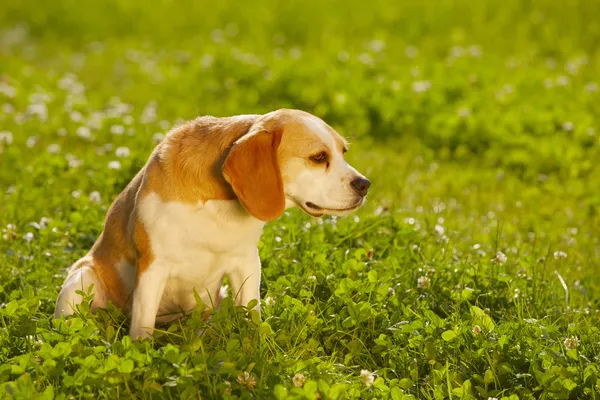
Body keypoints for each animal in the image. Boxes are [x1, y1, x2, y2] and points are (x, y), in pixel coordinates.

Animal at [54, 108, 370, 338]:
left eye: (343, 152)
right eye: (318, 157)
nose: (365, 184)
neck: (218, 205)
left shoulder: (246, 263)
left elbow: (252, 315)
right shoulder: (153, 267)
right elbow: (142, 328)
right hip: (80, 281)